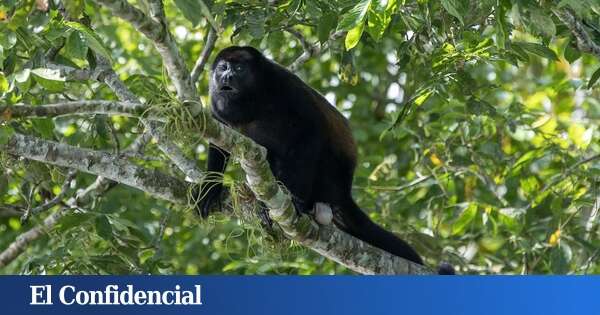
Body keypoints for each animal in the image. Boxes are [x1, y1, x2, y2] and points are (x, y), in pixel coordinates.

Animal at [195, 46, 452, 274]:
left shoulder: (283, 85)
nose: (226, 75)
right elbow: (218, 139)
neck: (252, 98)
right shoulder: (217, 102)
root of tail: (343, 192)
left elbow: (311, 131)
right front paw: (210, 188)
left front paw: (295, 201)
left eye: (239, 68)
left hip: (330, 176)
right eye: (223, 67)